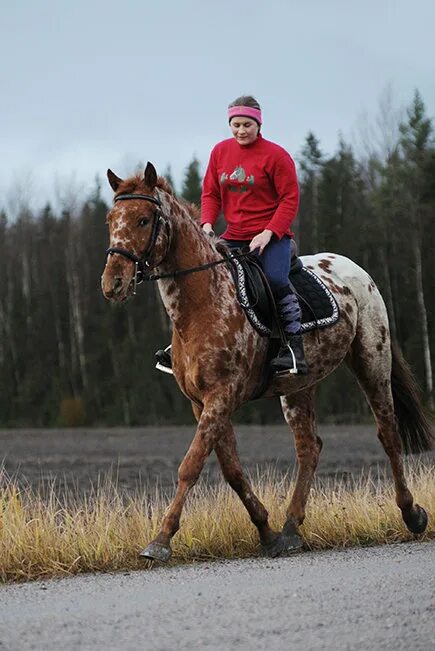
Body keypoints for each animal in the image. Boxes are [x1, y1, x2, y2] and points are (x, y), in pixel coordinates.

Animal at [101, 162, 432, 560]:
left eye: (144, 220)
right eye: (110, 219)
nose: (113, 283)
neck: (202, 302)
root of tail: (357, 270)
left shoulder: (221, 396)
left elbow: (190, 465)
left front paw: (161, 539)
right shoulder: (202, 403)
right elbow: (231, 470)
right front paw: (267, 531)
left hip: (372, 362)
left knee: (388, 434)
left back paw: (412, 514)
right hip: (297, 388)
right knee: (309, 447)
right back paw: (290, 528)